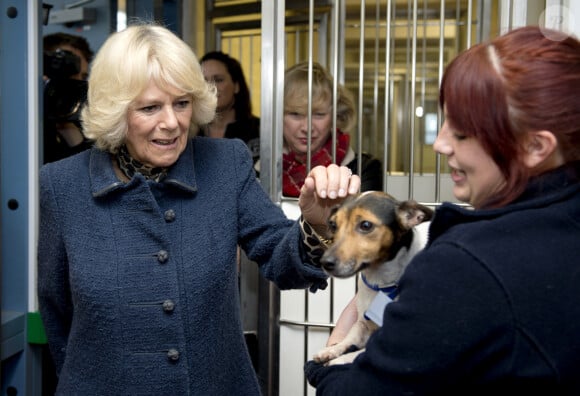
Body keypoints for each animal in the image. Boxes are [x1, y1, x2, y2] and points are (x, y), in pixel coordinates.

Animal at [312, 192, 430, 366]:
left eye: (366, 225)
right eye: (333, 225)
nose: (325, 263)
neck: (380, 283)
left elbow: (363, 352)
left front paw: (341, 359)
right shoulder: (362, 323)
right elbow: (351, 336)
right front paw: (332, 350)